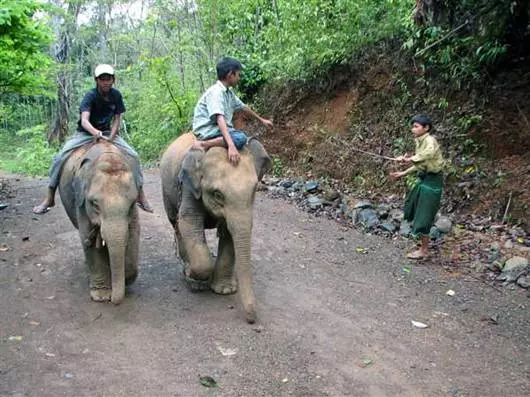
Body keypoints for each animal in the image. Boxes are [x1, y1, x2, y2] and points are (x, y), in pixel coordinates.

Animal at [58, 140, 139, 304]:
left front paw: (126, 278)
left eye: (132, 203)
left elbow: (133, 232)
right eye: (95, 204)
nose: (113, 300)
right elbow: (87, 239)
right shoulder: (81, 202)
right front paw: (101, 296)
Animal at [160, 133, 268, 322]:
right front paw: (193, 279)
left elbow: (229, 231)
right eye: (217, 194)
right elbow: (189, 221)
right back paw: (187, 266)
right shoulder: (188, 187)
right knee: (176, 224)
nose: (251, 319)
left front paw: (225, 290)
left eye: (255, 190)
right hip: (167, 192)